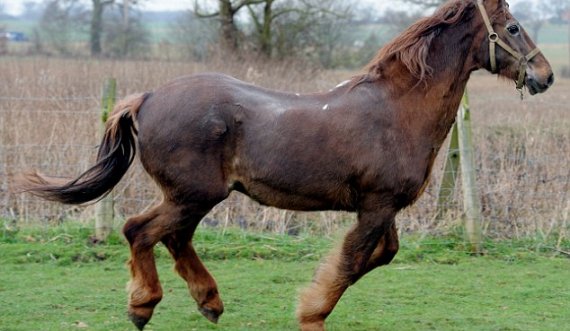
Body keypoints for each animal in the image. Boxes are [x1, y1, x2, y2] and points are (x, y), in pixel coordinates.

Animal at [17, 0, 552, 330]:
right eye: (512, 27)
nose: (544, 75)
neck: (396, 111)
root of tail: (145, 98)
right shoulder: (377, 207)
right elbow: (354, 261)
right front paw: (311, 313)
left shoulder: (382, 209)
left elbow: (379, 256)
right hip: (194, 194)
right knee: (140, 231)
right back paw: (143, 306)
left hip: (192, 197)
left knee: (172, 237)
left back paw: (208, 302)